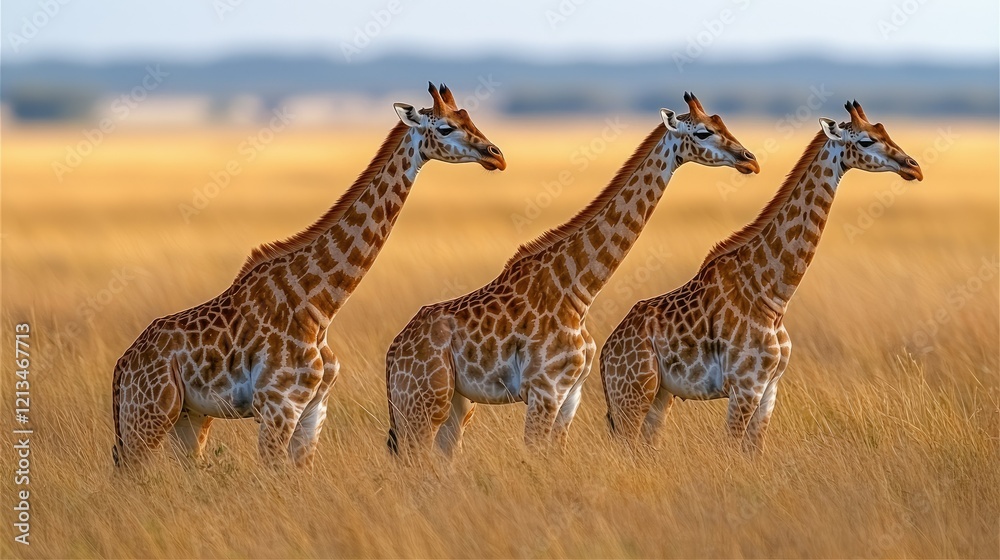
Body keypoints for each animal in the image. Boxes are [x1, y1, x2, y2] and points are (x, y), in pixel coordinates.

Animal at [111, 83, 506, 468]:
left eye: (469, 117)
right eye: (445, 128)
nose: (496, 156)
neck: (319, 305)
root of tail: (121, 370)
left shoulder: (315, 407)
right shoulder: (278, 405)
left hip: (189, 418)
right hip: (146, 417)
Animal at [385, 93, 759, 458]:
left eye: (721, 122)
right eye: (703, 133)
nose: (750, 160)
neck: (578, 289)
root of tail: (391, 357)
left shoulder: (571, 395)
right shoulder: (544, 390)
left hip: (456, 405)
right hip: (422, 404)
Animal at [601, 101, 922, 451]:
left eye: (883, 130)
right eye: (866, 140)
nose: (914, 167)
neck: (773, 296)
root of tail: (604, 355)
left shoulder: (770, 388)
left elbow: (755, 451)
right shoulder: (745, 386)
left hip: (660, 396)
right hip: (632, 394)